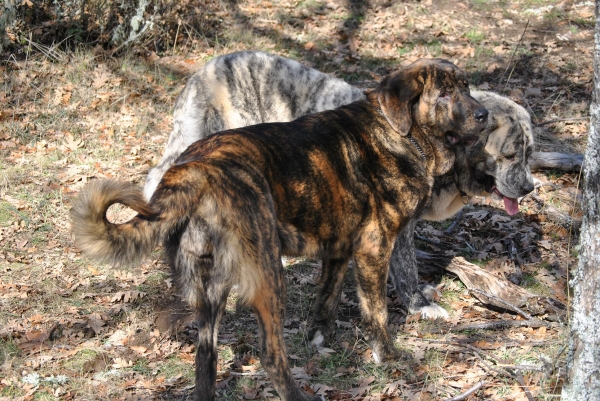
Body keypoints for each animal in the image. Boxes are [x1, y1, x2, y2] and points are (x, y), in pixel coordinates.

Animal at [72, 58, 490, 400]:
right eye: (445, 93)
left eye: (467, 86)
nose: (484, 114)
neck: (399, 133)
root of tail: (196, 167)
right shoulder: (374, 248)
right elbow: (377, 314)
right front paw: (387, 356)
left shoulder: (338, 252)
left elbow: (326, 301)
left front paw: (319, 339)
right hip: (270, 275)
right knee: (271, 356)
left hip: (212, 289)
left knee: (206, 360)